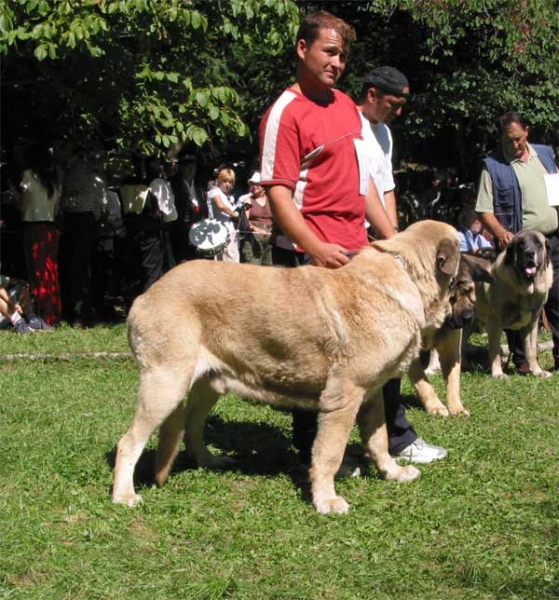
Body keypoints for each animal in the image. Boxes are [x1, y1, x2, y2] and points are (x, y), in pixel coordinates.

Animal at [112, 221, 460, 516]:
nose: (460, 318)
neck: (407, 276)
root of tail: (145, 295)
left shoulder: (372, 396)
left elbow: (379, 441)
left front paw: (393, 473)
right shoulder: (343, 397)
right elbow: (329, 454)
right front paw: (326, 500)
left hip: (208, 385)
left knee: (190, 428)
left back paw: (210, 460)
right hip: (165, 384)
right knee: (128, 443)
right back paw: (124, 495)